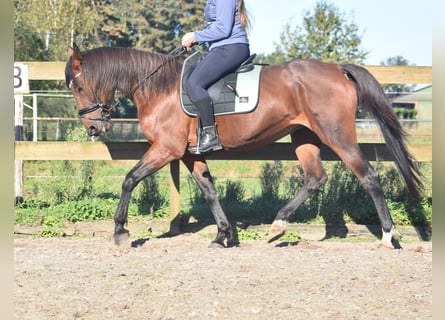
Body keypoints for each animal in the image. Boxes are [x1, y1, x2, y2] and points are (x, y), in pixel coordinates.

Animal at [64, 42, 422, 248]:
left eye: (78, 87)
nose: (93, 127)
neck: (157, 87)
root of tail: (337, 68)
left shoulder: (166, 150)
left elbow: (129, 179)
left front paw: (120, 233)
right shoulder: (189, 154)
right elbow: (209, 191)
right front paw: (223, 234)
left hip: (338, 135)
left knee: (368, 176)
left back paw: (389, 235)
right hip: (303, 136)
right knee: (315, 177)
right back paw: (277, 226)